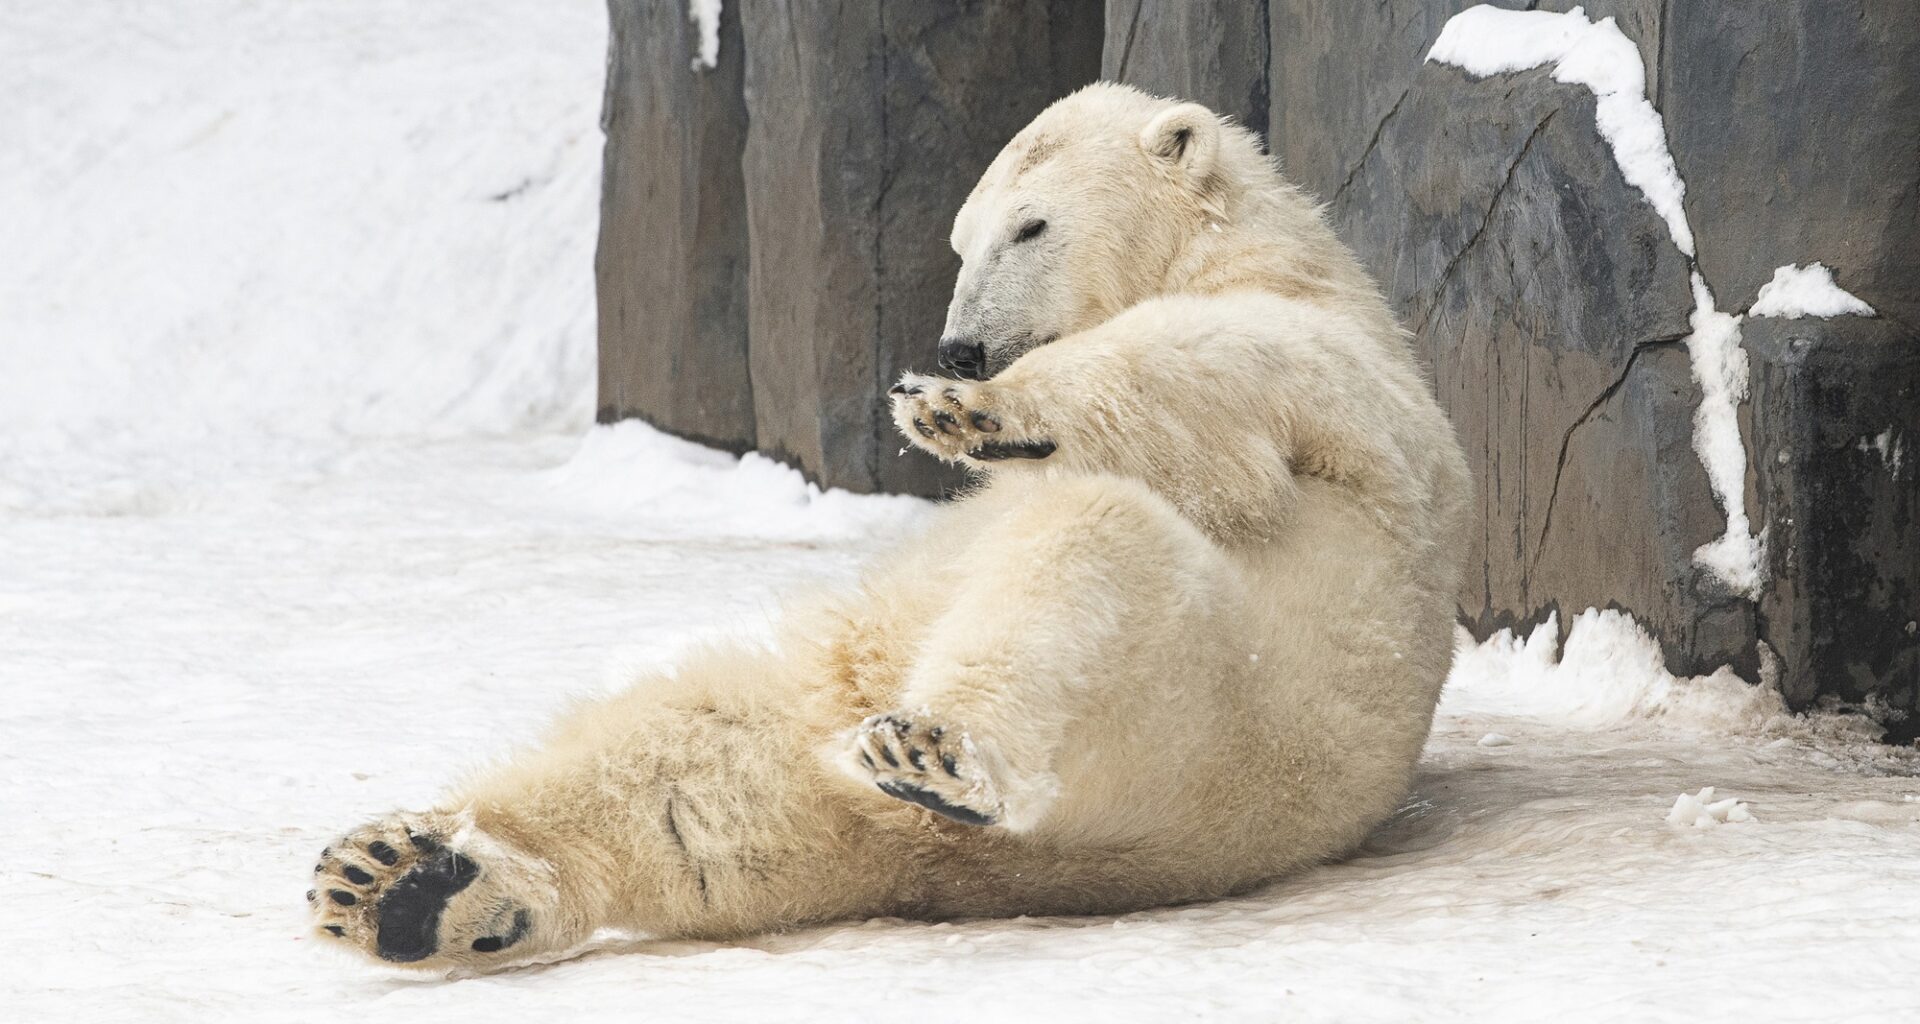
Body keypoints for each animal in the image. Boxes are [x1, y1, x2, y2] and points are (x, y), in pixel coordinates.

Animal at [307, 82, 1470, 972]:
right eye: (962, 240)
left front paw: (968, 412)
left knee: (1090, 560)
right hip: (855, 696)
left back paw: (933, 750)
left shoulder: (1336, 372)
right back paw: (402, 882)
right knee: (692, 766)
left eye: (1033, 225)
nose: (961, 348)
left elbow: (1199, 372)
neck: (1250, 248)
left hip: (1202, 717)